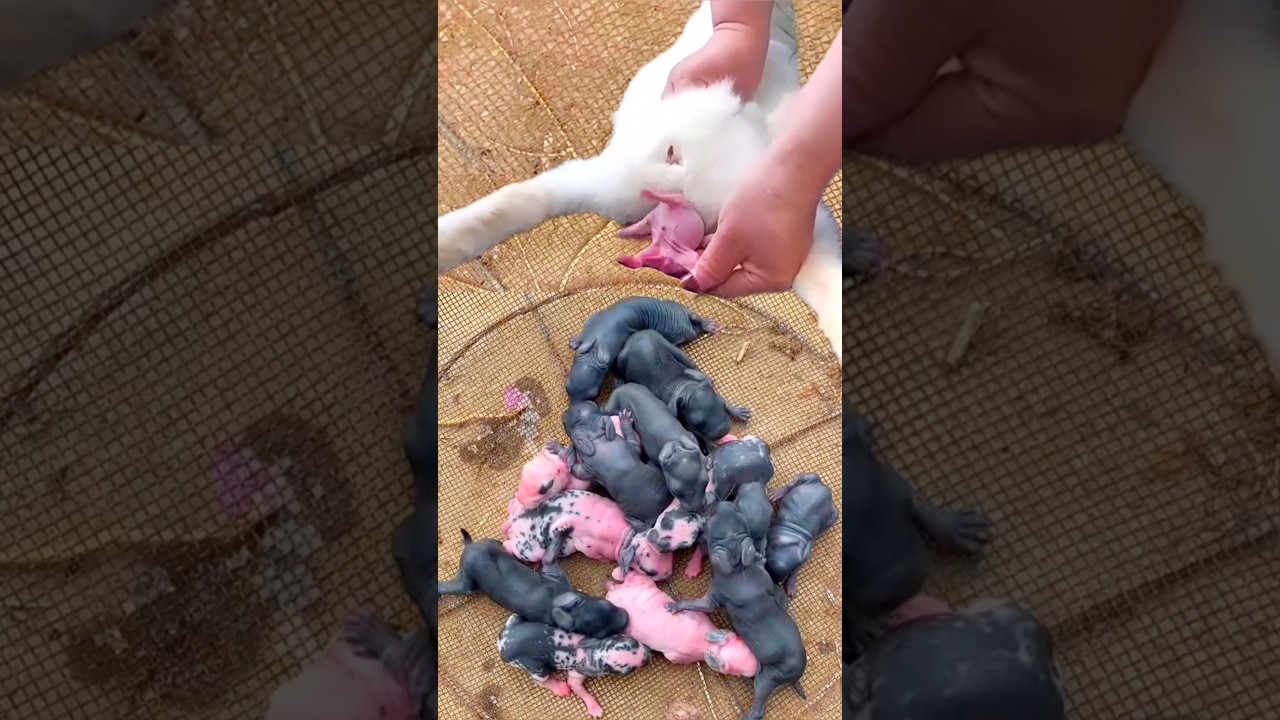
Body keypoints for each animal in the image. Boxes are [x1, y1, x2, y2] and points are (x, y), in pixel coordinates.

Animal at [436, 1, 844, 360]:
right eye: (671, 152)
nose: (676, 216)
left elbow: (823, 277)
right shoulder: (596, 180)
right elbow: (513, 206)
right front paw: (446, 242)